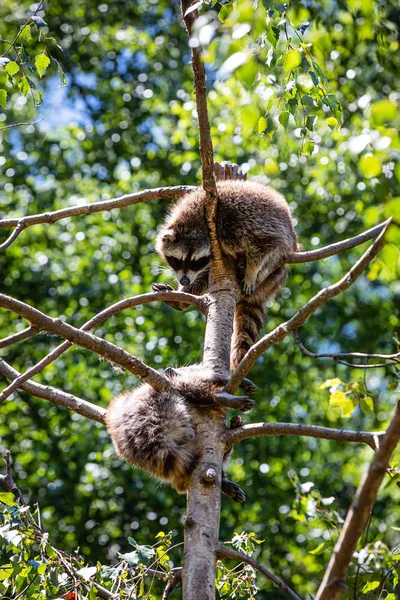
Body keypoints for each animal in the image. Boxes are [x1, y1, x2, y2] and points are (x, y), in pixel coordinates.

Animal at [155, 178, 298, 368]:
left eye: (195, 261)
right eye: (177, 260)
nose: (184, 281)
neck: (196, 222)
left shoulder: (241, 221)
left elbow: (264, 245)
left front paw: (252, 271)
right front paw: (184, 288)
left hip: (277, 267)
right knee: (203, 277)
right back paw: (180, 299)